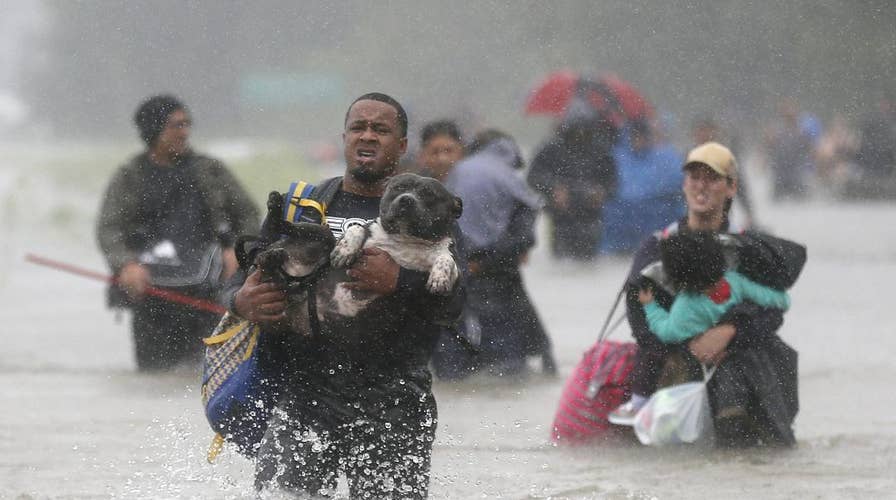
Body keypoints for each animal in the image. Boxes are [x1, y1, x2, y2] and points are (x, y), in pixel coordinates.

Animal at [252, 173, 462, 336]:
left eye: (429, 194)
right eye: (398, 188)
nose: (406, 199)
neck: (406, 240)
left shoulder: (442, 308)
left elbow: (446, 259)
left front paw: (440, 277)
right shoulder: (368, 232)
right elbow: (358, 228)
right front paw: (345, 249)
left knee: (276, 276)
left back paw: (273, 260)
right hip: (322, 235)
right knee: (279, 237)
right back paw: (274, 220)